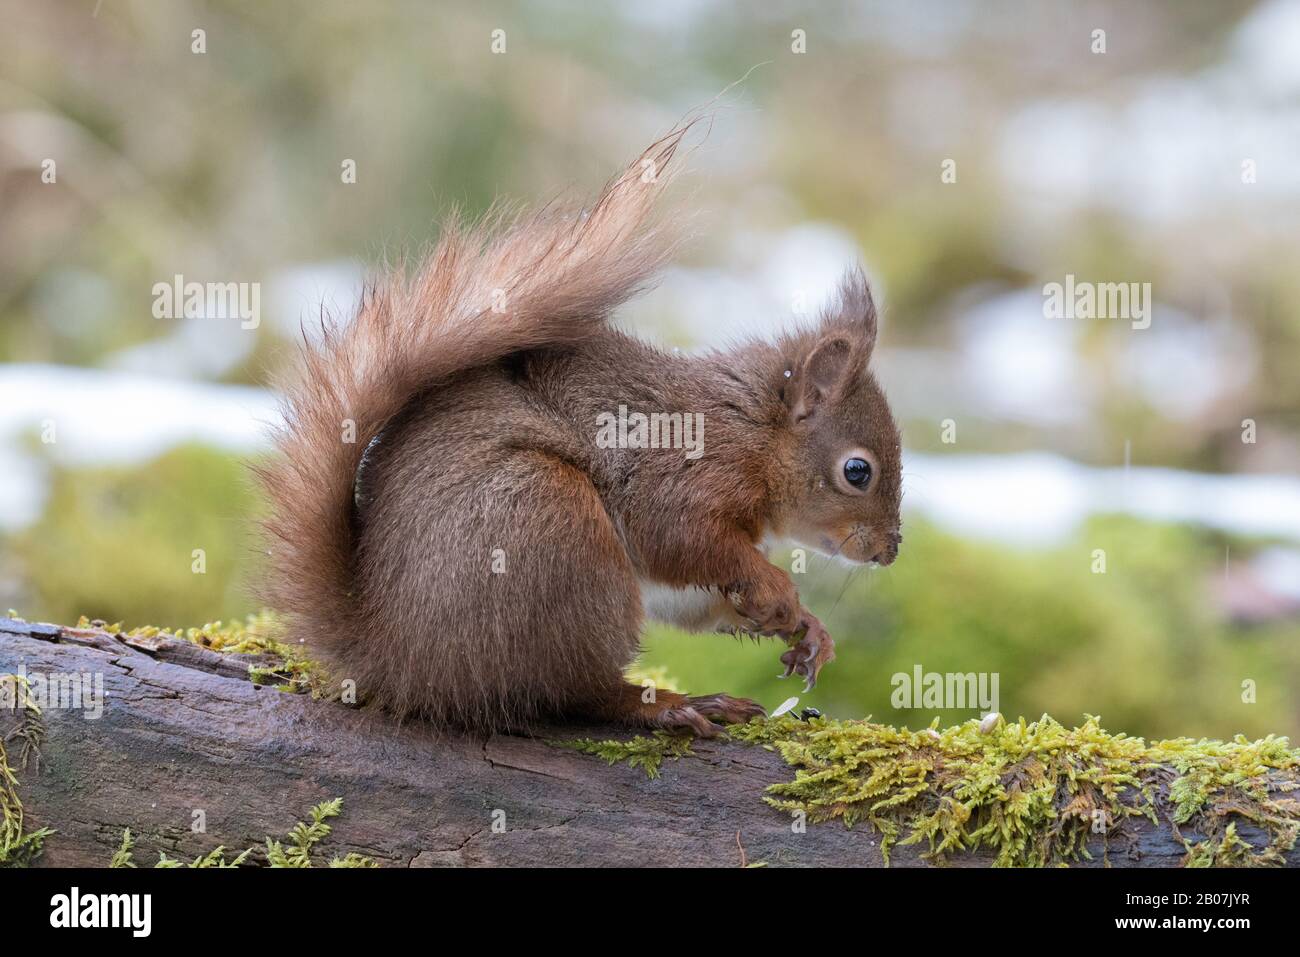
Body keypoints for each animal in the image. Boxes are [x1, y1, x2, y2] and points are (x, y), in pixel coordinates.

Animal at [258, 123, 899, 738]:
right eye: (857, 471)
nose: (890, 552)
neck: (754, 432)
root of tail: (391, 660)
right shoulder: (684, 473)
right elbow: (683, 539)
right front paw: (778, 589)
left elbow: (696, 599)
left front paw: (808, 629)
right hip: (550, 526)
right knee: (574, 692)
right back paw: (668, 706)